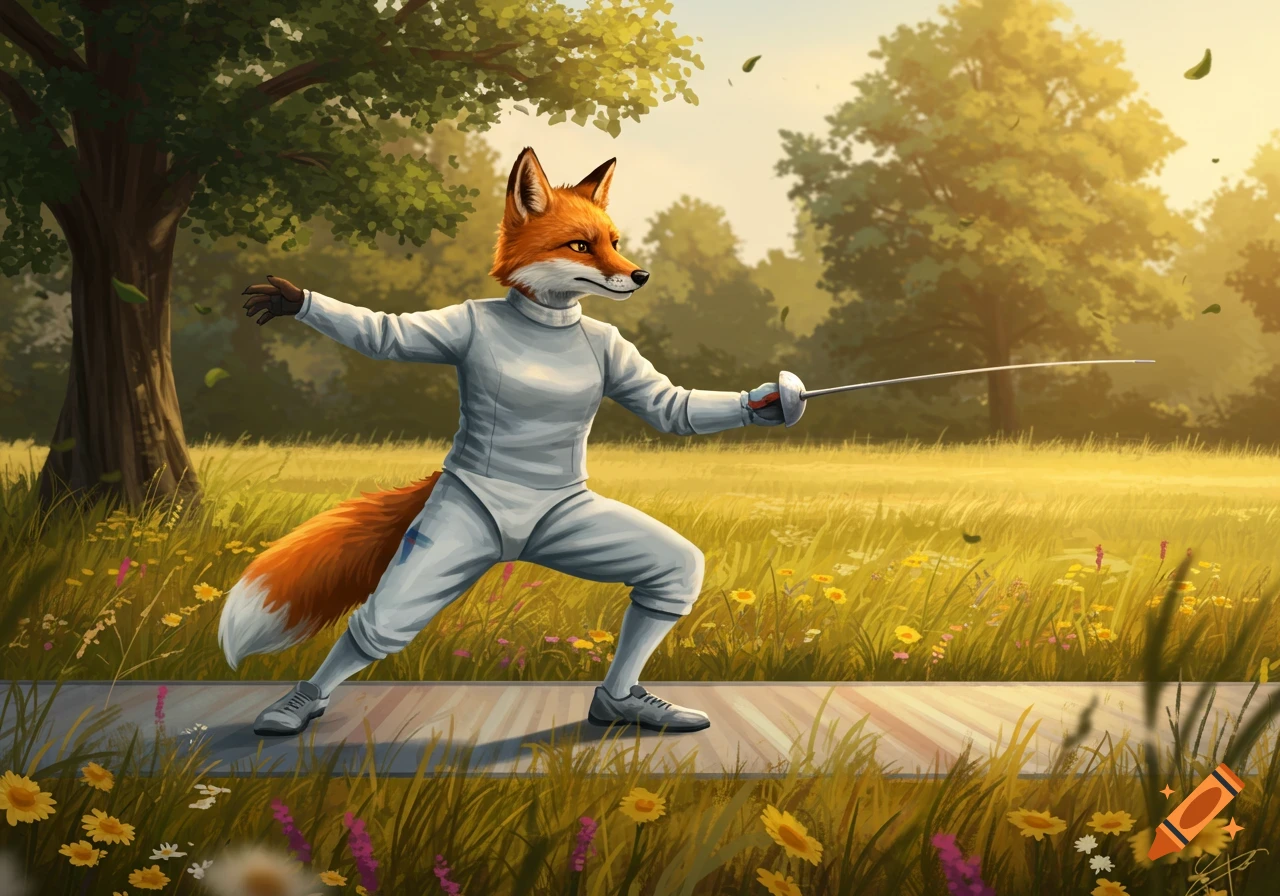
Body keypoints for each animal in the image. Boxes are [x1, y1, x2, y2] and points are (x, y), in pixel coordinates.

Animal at [223, 147, 791, 737]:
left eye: (614, 240)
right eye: (581, 245)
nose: (641, 275)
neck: (548, 322)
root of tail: (516, 545)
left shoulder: (626, 364)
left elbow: (669, 405)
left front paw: (771, 403)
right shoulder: (451, 327)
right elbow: (383, 333)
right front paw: (294, 299)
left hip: (587, 538)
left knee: (665, 588)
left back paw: (617, 704)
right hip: (447, 542)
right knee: (377, 625)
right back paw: (295, 706)